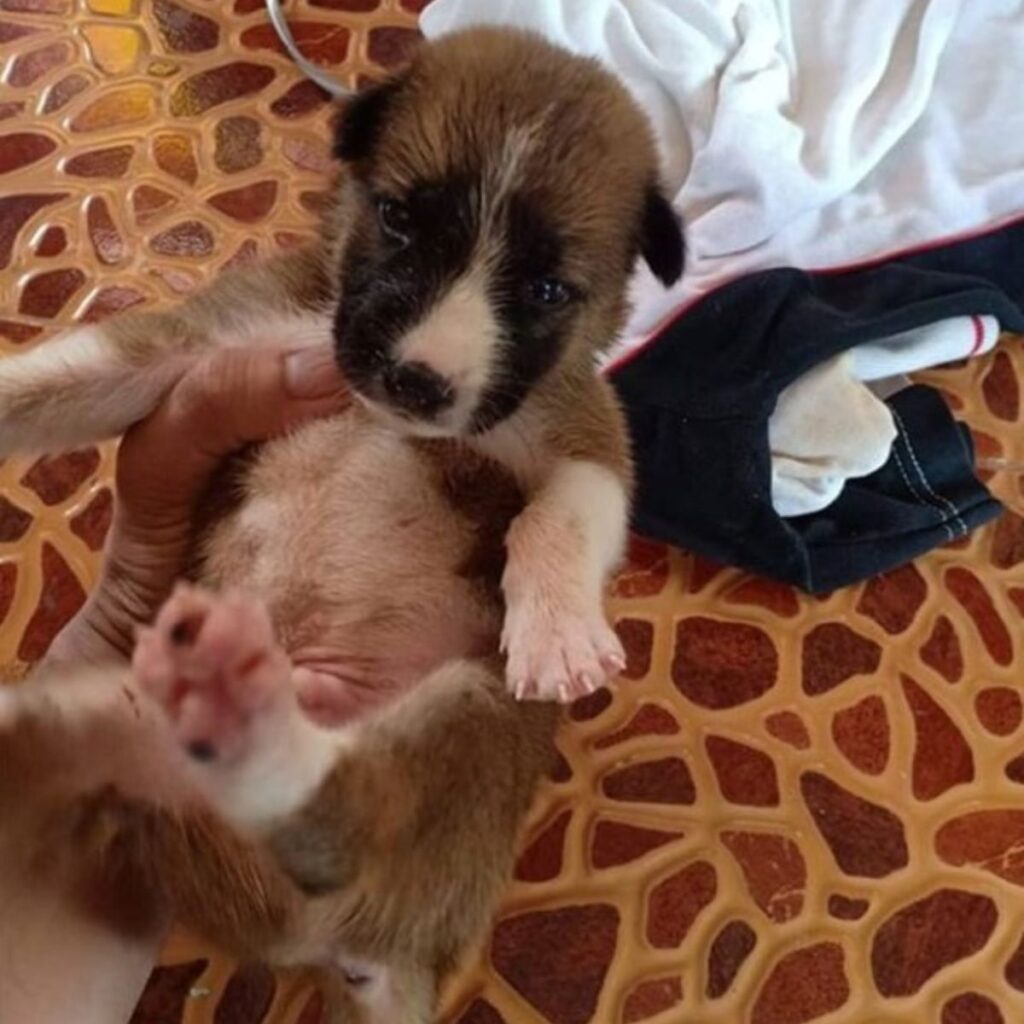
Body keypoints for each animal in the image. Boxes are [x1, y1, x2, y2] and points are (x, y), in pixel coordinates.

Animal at [2, 24, 688, 1024]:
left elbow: (559, 516)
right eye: (399, 218)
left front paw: (558, 628)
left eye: (549, 290)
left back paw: (237, 719)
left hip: (464, 715)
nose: (418, 379)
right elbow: (58, 378)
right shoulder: (205, 342)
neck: (378, 413)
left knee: (341, 817)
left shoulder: (579, 429)